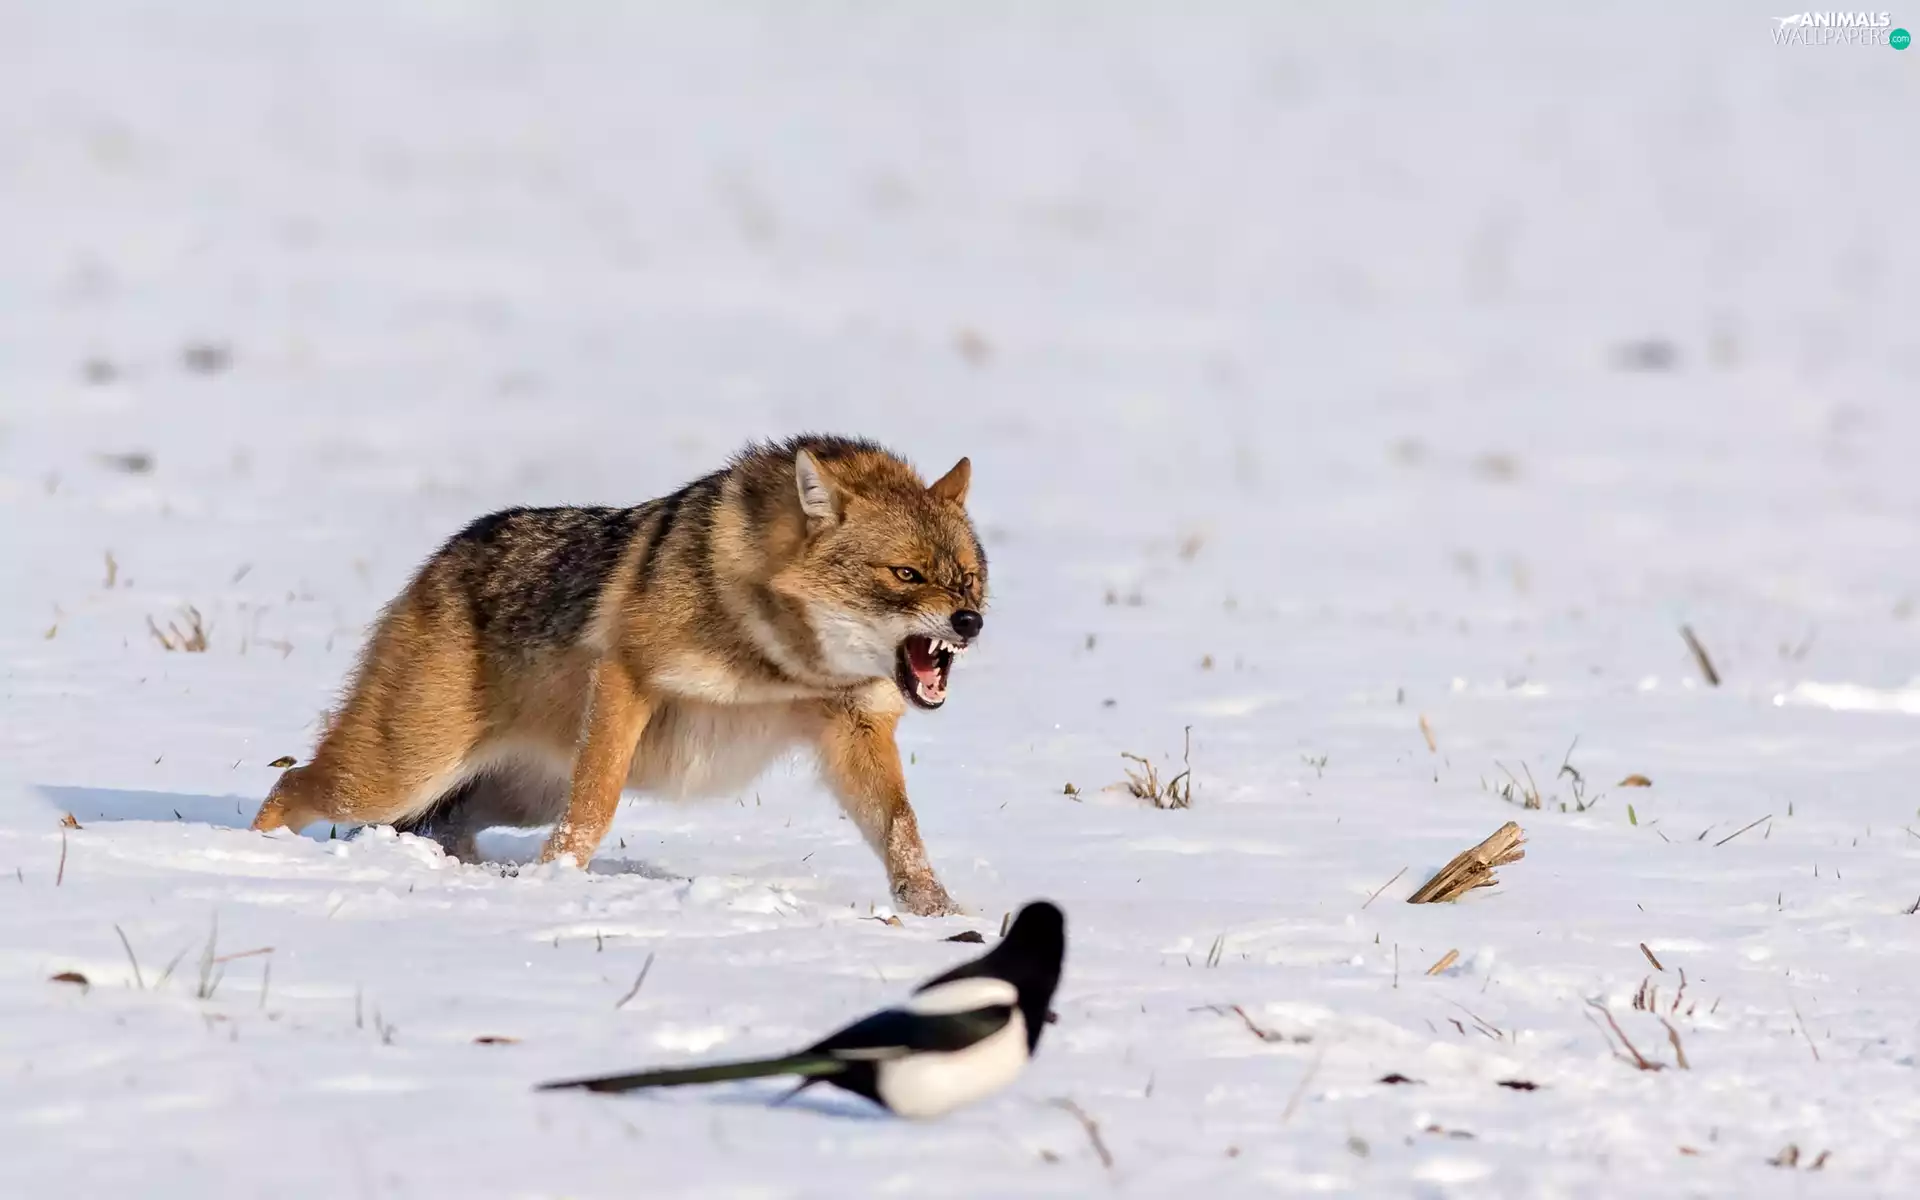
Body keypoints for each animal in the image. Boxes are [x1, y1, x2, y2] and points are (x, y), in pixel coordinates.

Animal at [250, 435, 987, 915]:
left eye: (968, 577)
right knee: (289, 783)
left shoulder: (856, 725)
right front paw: (556, 881)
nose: (971, 622)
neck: (782, 657)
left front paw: (939, 913)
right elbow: (596, 806)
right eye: (906, 574)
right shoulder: (625, 680)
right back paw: (259, 863)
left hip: (509, 795)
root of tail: (439, 559)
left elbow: (902, 831)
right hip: (395, 780)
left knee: (442, 829)